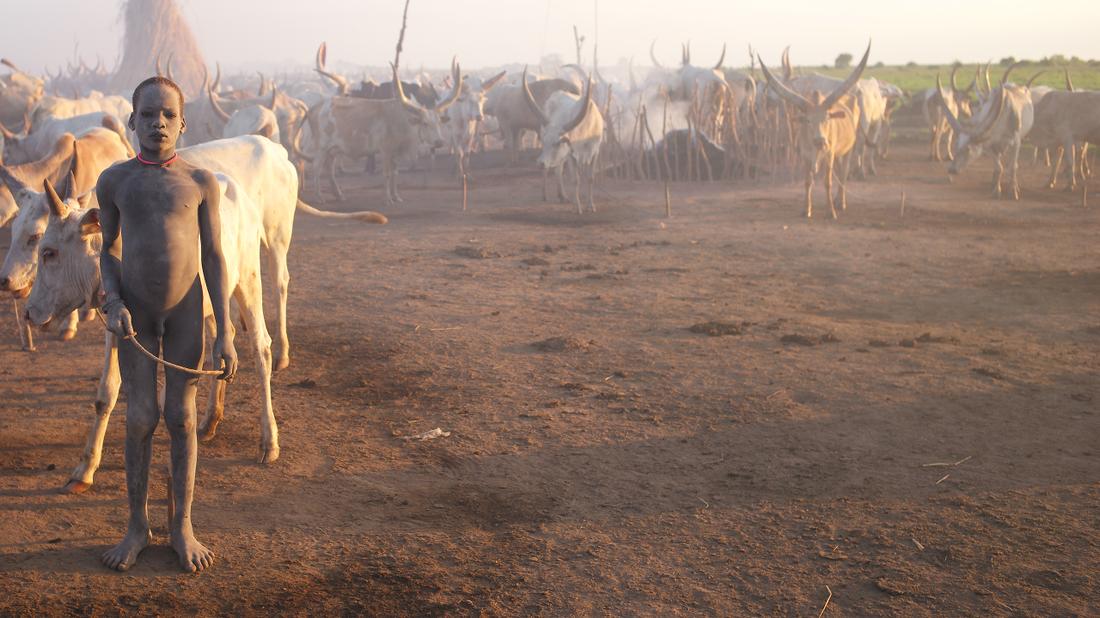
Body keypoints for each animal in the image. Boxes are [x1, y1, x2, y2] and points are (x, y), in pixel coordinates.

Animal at [314, 62, 463, 204]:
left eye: (438, 122)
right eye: (425, 123)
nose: (439, 142)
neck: (402, 121)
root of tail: (320, 105)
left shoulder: (395, 154)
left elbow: (394, 174)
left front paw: (396, 197)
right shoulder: (385, 151)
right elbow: (386, 174)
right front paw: (387, 199)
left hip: (333, 150)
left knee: (329, 169)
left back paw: (339, 195)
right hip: (321, 149)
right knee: (317, 169)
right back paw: (319, 197)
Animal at [521, 67, 605, 214]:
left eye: (557, 143)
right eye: (545, 142)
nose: (539, 163)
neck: (587, 128)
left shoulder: (595, 152)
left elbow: (590, 178)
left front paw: (591, 205)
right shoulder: (572, 154)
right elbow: (575, 180)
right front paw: (578, 207)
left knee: (558, 169)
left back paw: (563, 196)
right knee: (551, 170)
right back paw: (545, 195)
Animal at [758, 43, 870, 219]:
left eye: (827, 118)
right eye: (808, 120)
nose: (820, 141)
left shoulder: (829, 154)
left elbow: (827, 182)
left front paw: (831, 211)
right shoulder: (805, 156)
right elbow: (807, 182)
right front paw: (807, 209)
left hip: (848, 149)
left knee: (844, 173)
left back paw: (841, 203)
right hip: (838, 153)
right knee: (840, 171)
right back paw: (837, 200)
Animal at [936, 62, 1035, 200]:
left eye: (968, 149)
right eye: (956, 145)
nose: (951, 170)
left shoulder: (1016, 141)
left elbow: (1012, 167)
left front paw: (1014, 191)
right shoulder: (988, 145)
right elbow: (998, 167)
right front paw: (996, 190)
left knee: (1013, 164)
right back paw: (993, 183)